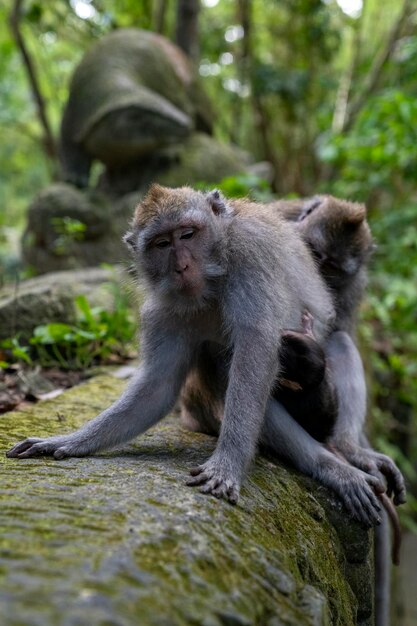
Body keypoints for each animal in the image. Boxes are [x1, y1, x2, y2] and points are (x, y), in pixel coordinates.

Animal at [6, 183, 386, 524]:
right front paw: (69, 441)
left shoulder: (249, 255)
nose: (182, 267)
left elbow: (257, 350)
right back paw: (326, 462)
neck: (212, 283)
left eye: (188, 234)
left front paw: (227, 463)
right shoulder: (164, 311)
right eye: (162, 244)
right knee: (222, 368)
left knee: (332, 345)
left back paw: (341, 456)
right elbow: (158, 387)